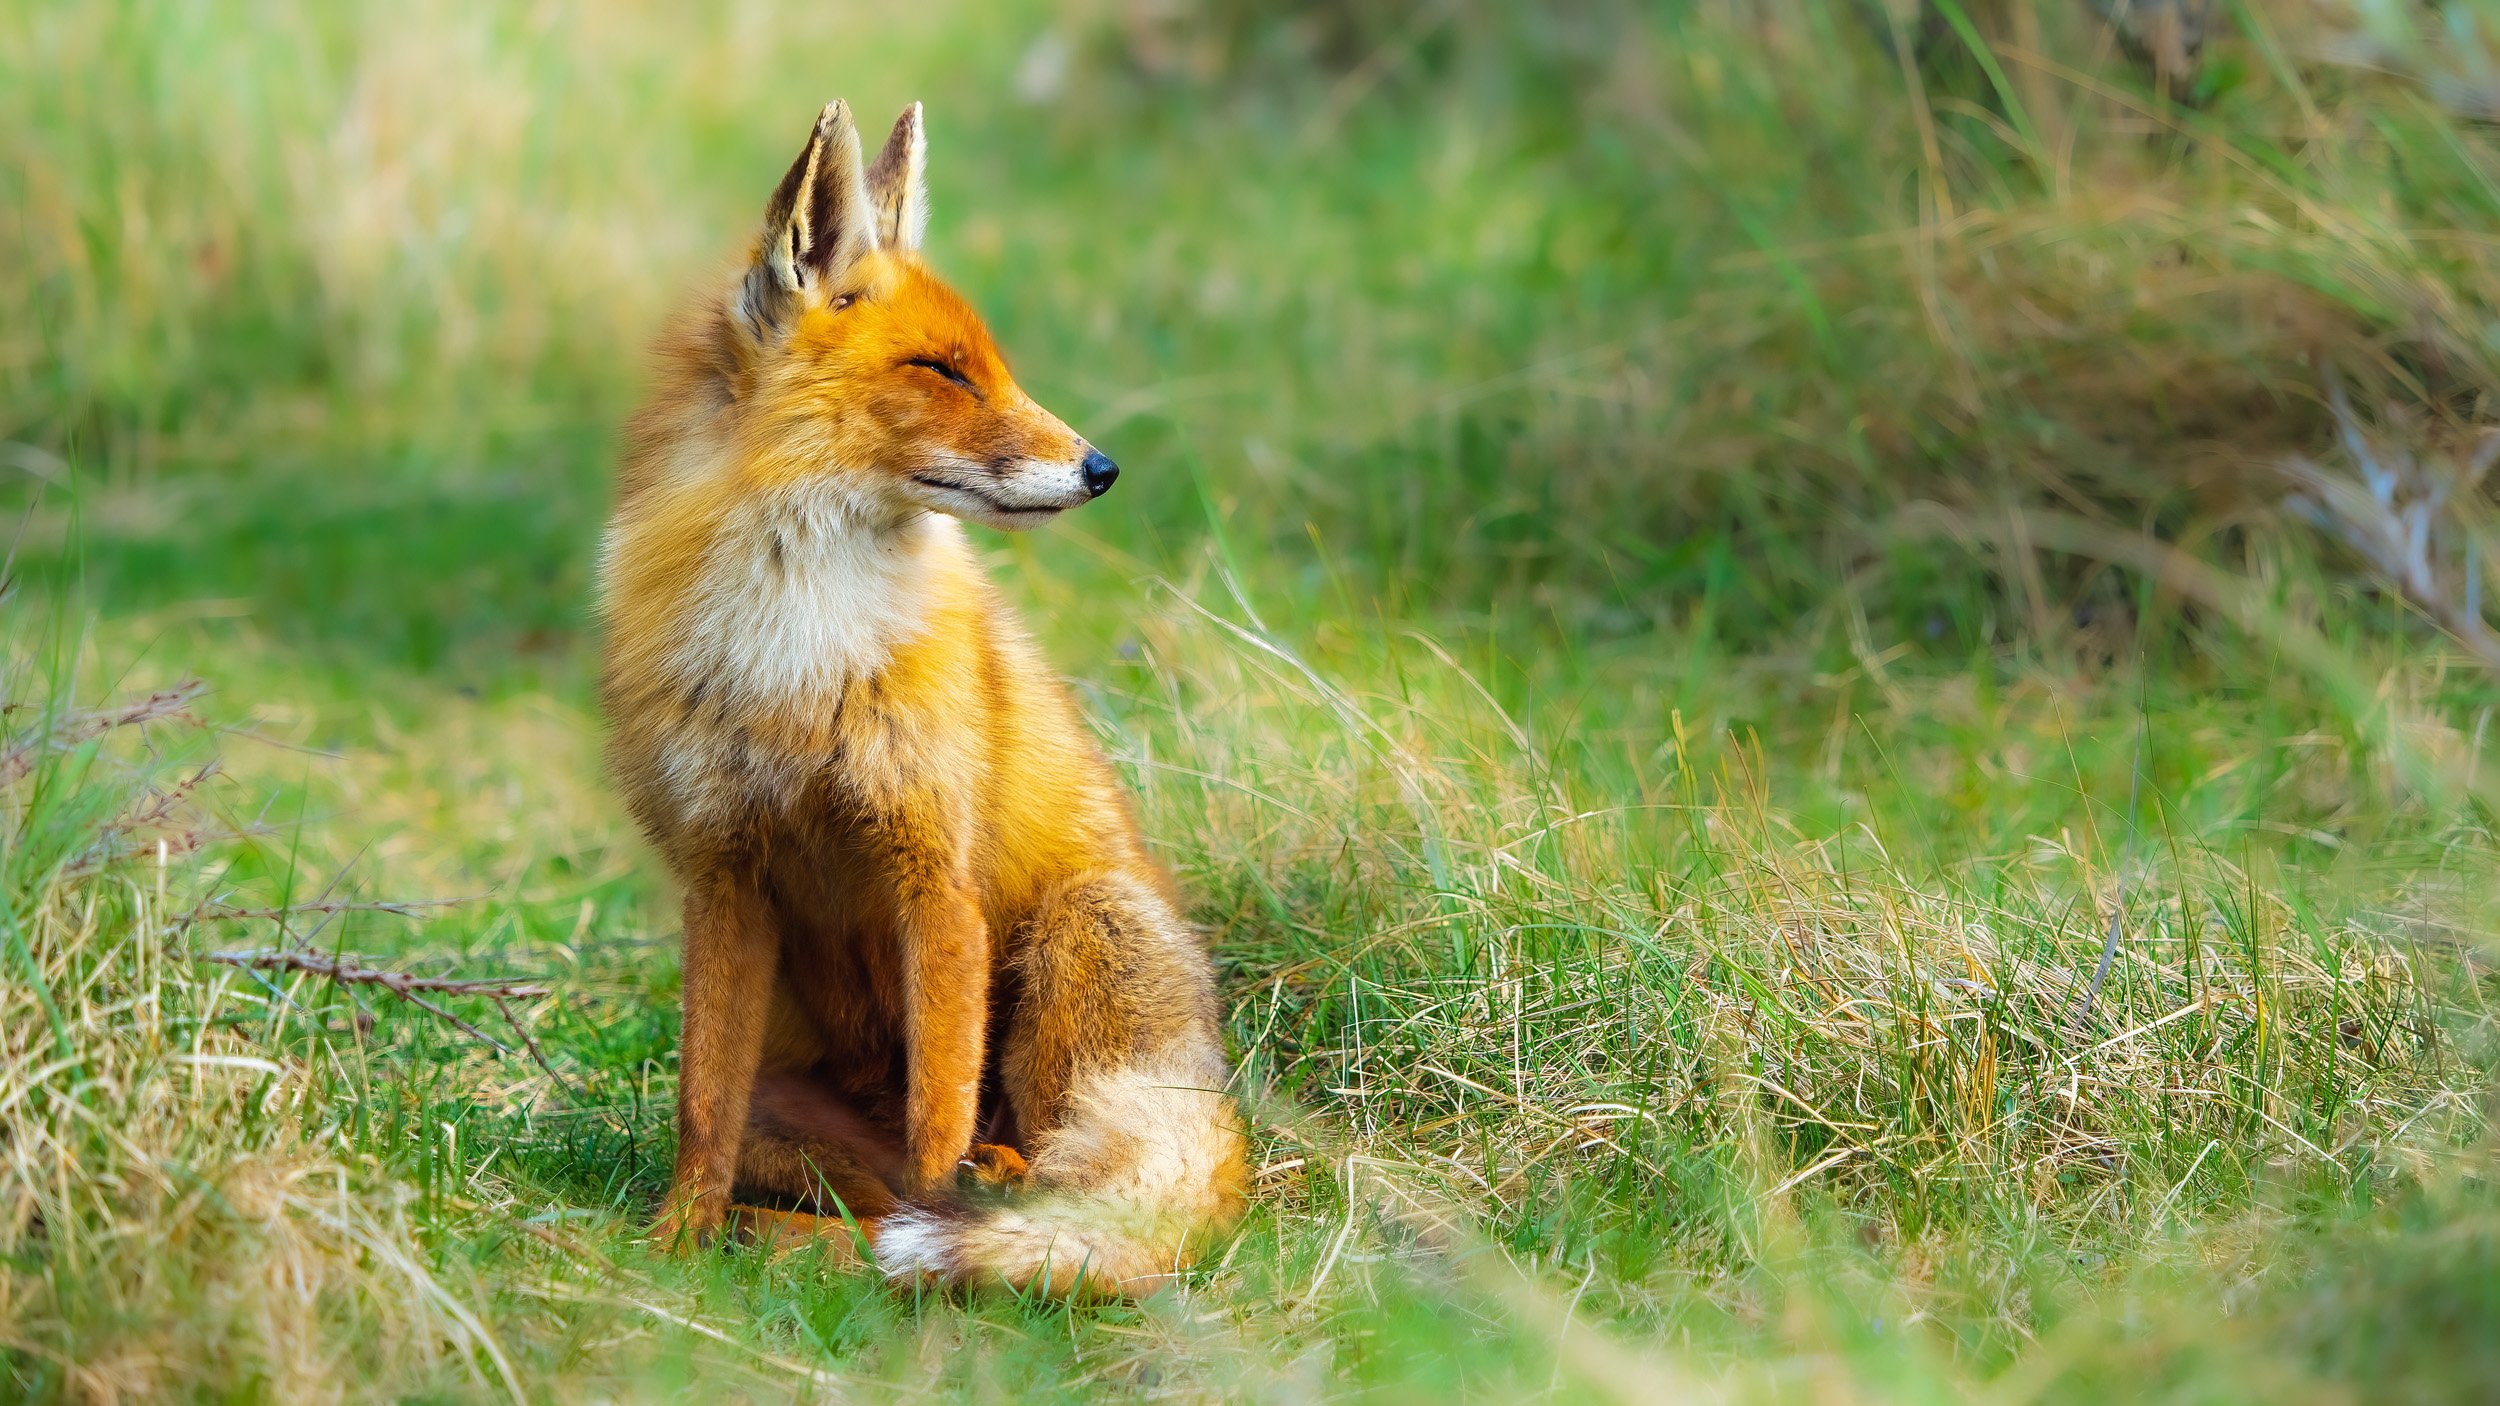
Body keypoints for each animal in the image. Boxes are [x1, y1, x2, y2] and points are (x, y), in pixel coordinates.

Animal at [597, 99, 1246, 1296]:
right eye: (943, 371)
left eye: (991, 366)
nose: (1102, 467)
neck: (796, 656)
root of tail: (1226, 1123)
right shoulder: (724, 877)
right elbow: (700, 1108)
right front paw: (671, 1246)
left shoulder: (932, 871)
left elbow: (937, 1108)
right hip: (789, 1105)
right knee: (859, 1193)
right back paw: (789, 1238)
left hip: (1082, 929)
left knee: (1008, 1163)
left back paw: (981, 1206)